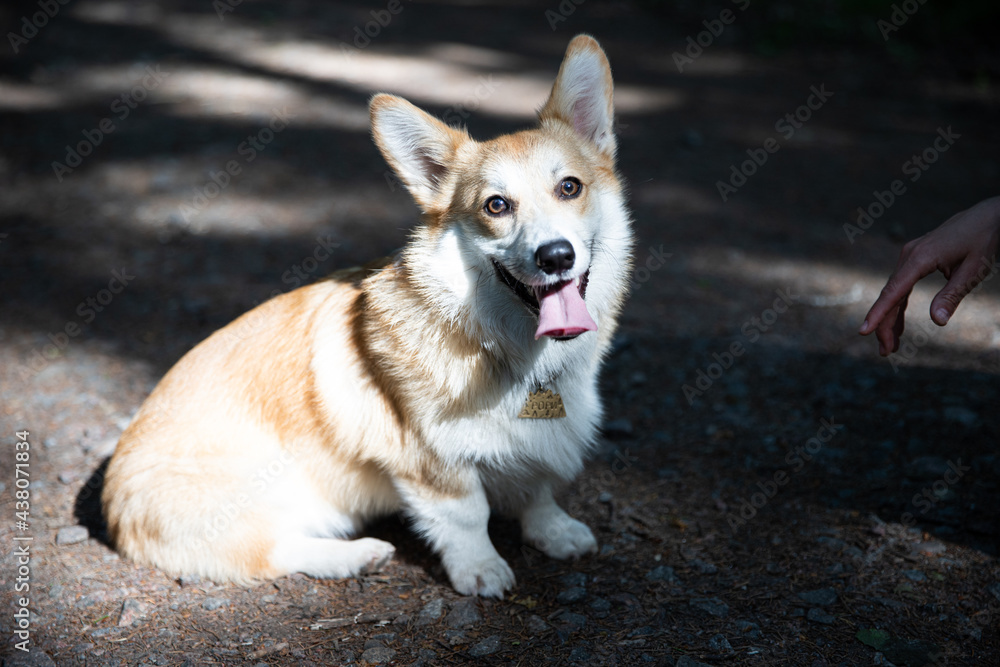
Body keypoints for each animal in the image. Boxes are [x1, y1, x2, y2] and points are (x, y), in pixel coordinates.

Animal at [101, 34, 632, 596]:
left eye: (570, 187)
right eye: (496, 205)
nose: (555, 256)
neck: (509, 350)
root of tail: (110, 505)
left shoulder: (540, 446)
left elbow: (539, 491)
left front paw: (557, 533)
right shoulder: (430, 461)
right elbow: (468, 515)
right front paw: (481, 569)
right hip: (263, 493)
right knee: (272, 551)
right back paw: (357, 556)